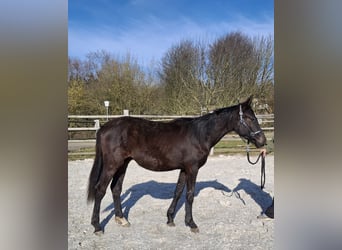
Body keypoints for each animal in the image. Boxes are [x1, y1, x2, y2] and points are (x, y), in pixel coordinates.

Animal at [87, 96, 266, 233]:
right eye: (249, 118)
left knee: (116, 189)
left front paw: (170, 219)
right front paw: (192, 224)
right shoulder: (192, 169)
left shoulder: (184, 169)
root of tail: (104, 128)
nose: (262, 141)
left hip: (123, 164)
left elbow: (178, 192)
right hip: (112, 164)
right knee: (100, 190)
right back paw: (97, 226)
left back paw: (121, 219)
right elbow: (190, 195)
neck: (199, 134)